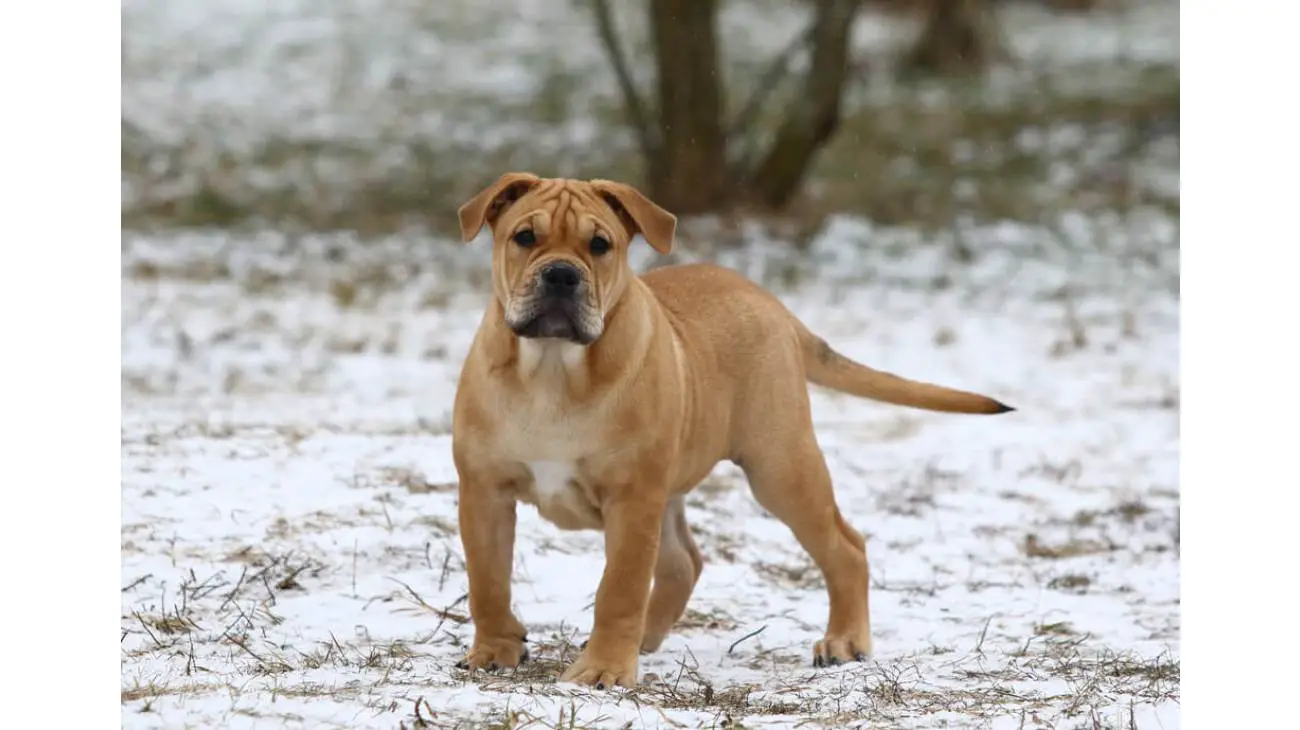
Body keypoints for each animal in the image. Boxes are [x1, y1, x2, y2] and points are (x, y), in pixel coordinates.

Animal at [452, 172, 1008, 685]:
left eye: (600, 245)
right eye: (525, 237)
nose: (562, 275)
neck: (552, 369)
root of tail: (770, 302)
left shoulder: (631, 499)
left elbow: (619, 589)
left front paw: (603, 670)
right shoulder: (484, 492)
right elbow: (488, 580)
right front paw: (495, 650)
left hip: (779, 468)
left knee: (846, 548)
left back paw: (844, 641)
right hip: (680, 487)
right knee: (684, 562)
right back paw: (646, 637)